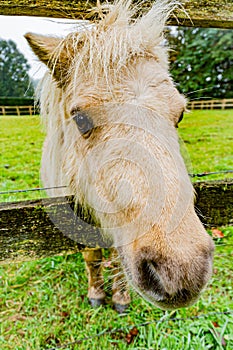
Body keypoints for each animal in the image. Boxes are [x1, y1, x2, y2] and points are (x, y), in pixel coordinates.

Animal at [25, 0, 213, 312]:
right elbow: (92, 257)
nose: (181, 269)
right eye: (80, 120)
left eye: (180, 115)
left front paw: (120, 297)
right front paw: (96, 294)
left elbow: (114, 259)